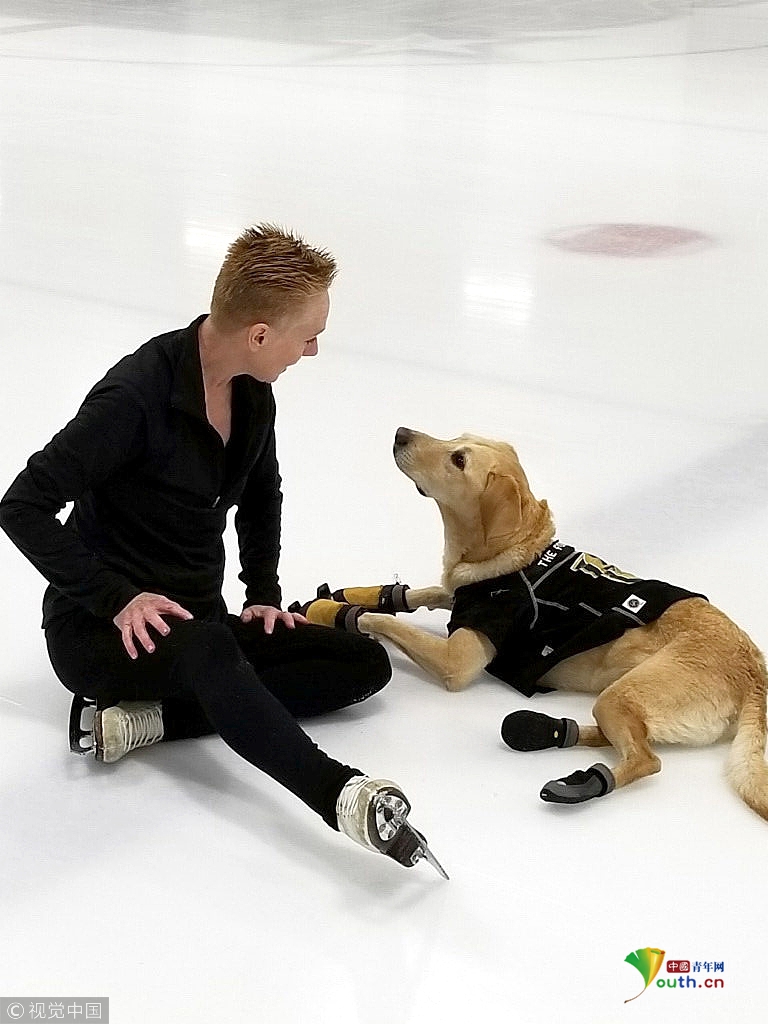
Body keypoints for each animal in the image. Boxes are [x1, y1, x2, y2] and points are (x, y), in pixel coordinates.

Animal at [350, 427, 768, 815]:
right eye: (457, 438)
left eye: (459, 460)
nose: (401, 433)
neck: (518, 551)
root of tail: (755, 673)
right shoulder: (458, 594)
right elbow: (428, 593)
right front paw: (363, 594)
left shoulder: (458, 661)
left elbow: (392, 624)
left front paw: (352, 616)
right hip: (616, 701)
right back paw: (550, 732)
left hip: (619, 696)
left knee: (646, 759)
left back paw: (585, 782)